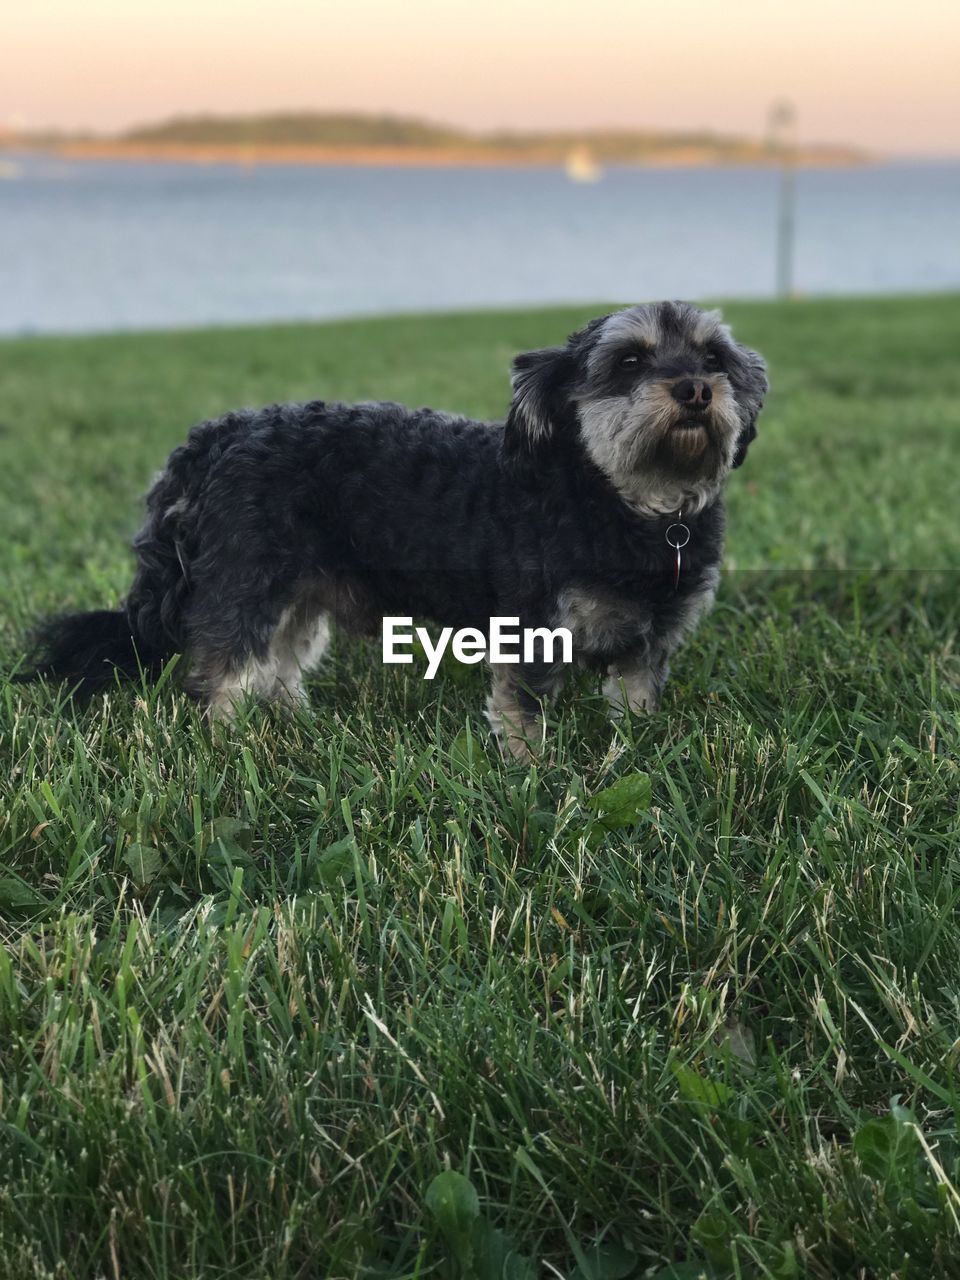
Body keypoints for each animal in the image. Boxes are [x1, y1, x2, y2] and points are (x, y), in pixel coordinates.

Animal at [22, 299, 768, 757]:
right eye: (631, 361)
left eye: (713, 359)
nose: (696, 390)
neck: (632, 506)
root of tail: (215, 437)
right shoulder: (533, 628)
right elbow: (523, 716)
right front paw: (534, 776)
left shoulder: (651, 642)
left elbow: (636, 701)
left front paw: (636, 749)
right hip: (247, 583)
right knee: (221, 675)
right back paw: (226, 745)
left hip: (298, 591)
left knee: (277, 668)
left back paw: (296, 726)